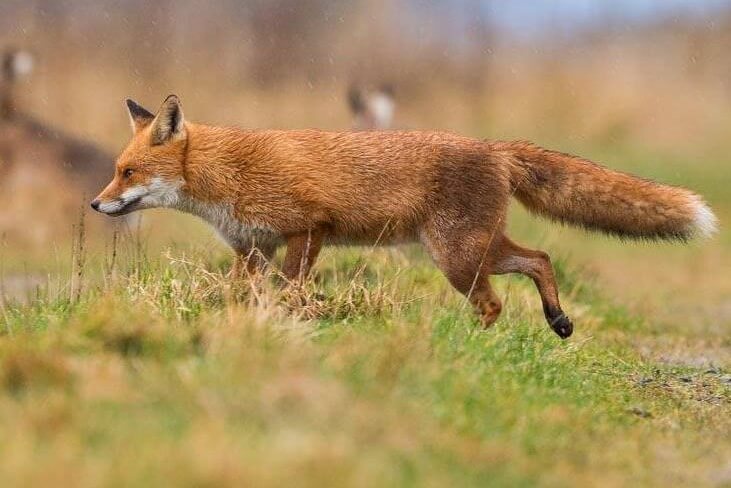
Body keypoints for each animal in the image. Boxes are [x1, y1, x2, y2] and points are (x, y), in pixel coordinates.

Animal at [90, 95, 716, 340]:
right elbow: (245, 293)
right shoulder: (252, 247)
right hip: (472, 250)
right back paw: (557, 320)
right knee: (539, 258)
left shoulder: (308, 229)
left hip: (457, 256)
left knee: (497, 299)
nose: (95, 205)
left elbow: (292, 291)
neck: (227, 172)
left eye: (126, 172)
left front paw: (294, 320)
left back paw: (471, 347)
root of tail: (495, 146)